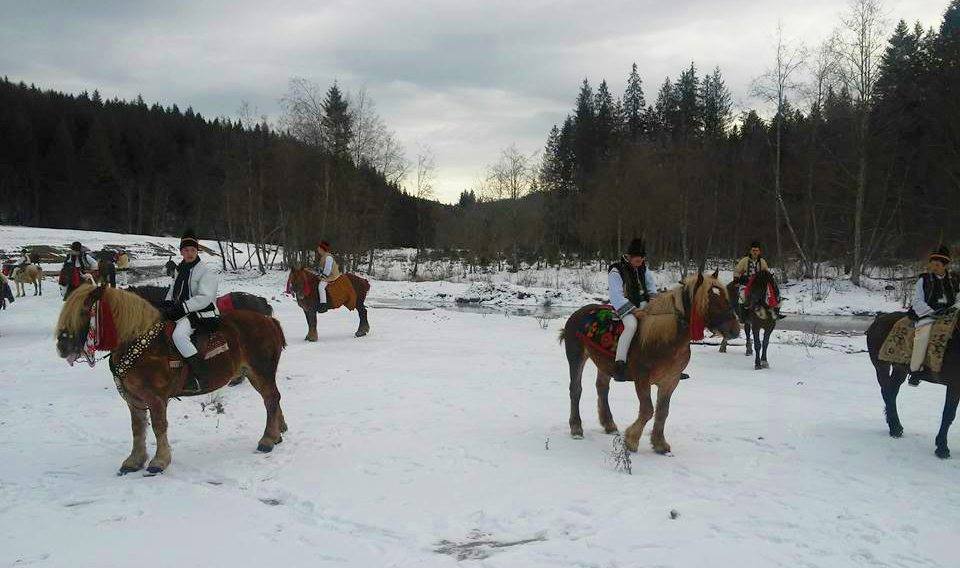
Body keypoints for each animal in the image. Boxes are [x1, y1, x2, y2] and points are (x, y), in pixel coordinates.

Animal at [54, 284, 286, 474]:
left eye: (84, 311)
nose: (62, 346)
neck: (139, 343)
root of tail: (268, 320)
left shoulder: (156, 399)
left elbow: (158, 427)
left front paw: (159, 461)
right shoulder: (134, 400)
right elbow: (137, 429)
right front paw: (134, 461)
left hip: (261, 372)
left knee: (271, 400)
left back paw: (267, 439)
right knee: (272, 399)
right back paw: (276, 434)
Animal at [560, 272, 740, 458]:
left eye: (725, 297)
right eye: (710, 300)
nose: (735, 330)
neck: (665, 339)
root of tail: (578, 313)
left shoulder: (670, 381)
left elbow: (662, 411)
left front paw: (659, 443)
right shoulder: (642, 379)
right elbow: (648, 410)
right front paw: (631, 440)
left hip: (604, 363)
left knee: (602, 388)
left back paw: (609, 424)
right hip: (576, 357)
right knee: (576, 389)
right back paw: (576, 427)